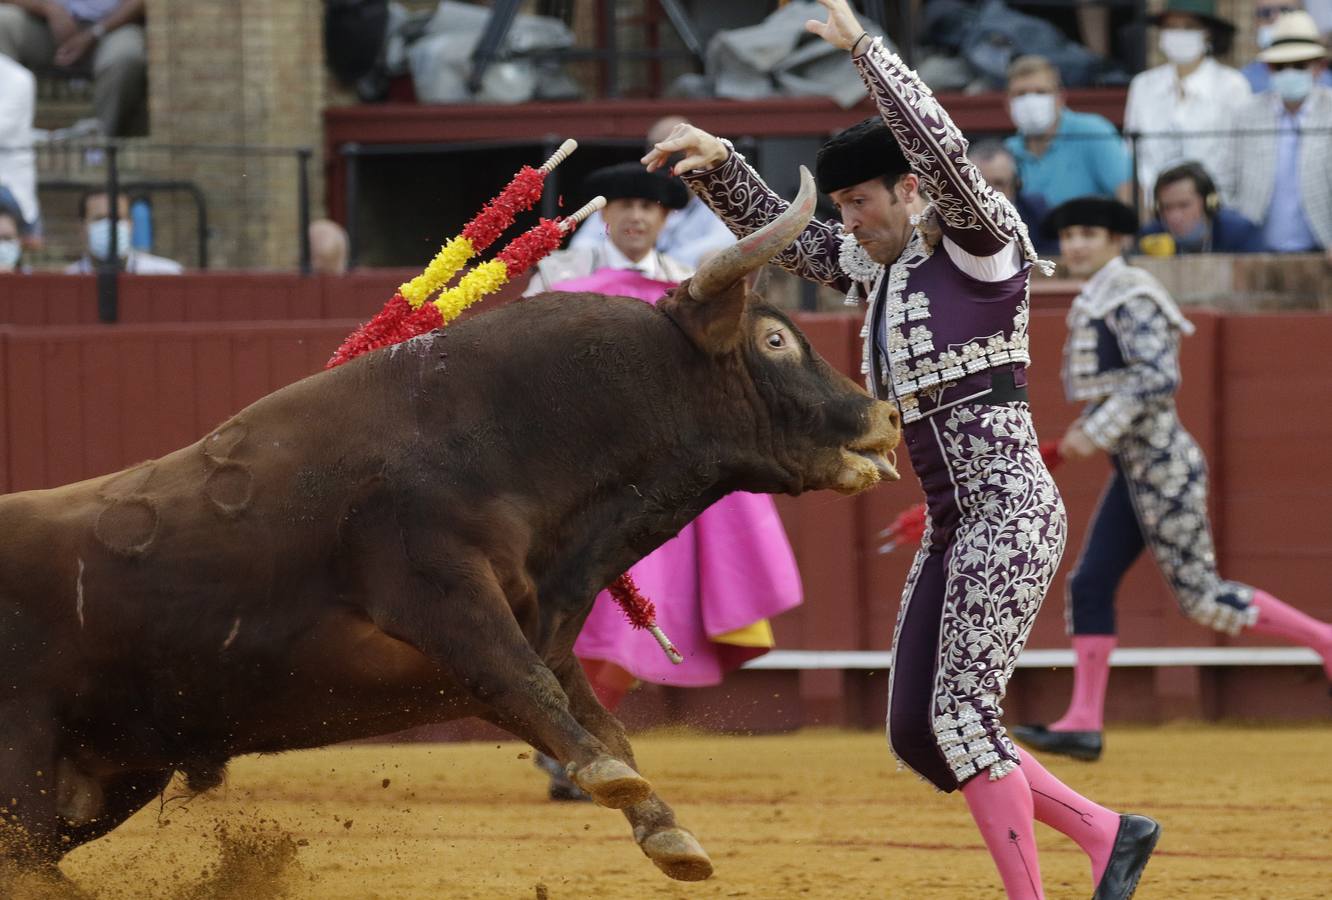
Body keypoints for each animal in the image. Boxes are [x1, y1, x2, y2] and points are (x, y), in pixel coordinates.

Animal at [0, 165, 900, 884]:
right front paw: (618, 790)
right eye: (776, 339)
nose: (883, 415)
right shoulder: (442, 598)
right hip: (24, 764)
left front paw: (665, 832)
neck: (510, 436)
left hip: (112, 775)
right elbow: (535, 692)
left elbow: (596, 716)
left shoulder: (537, 625)